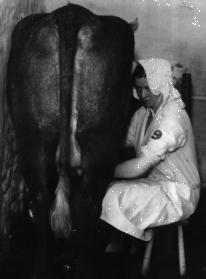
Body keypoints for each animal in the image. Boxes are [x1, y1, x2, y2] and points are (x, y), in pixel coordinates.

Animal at [6, 2, 135, 279]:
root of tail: (70, 14)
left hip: (33, 135)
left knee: (40, 201)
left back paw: (42, 269)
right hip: (99, 140)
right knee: (89, 204)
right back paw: (84, 267)